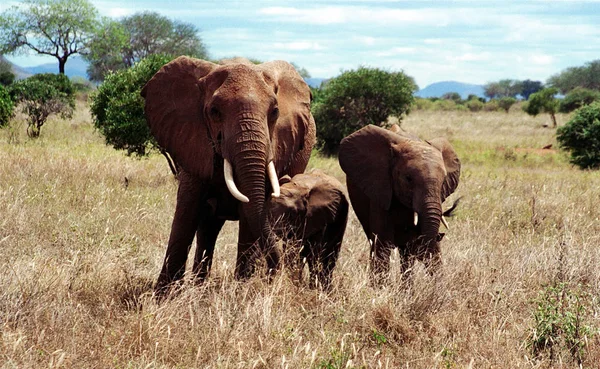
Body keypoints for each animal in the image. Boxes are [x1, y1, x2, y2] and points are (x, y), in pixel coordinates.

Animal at [142, 56, 316, 292]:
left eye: (274, 112)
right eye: (214, 111)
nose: (277, 275)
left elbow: (249, 213)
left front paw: (241, 290)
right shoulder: (190, 141)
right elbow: (187, 209)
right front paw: (164, 295)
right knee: (208, 227)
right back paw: (200, 285)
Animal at [340, 125, 462, 280]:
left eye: (443, 181)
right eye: (408, 179)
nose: (440, 236)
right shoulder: (380, 189)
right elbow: (383, 245)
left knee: (406, 254)